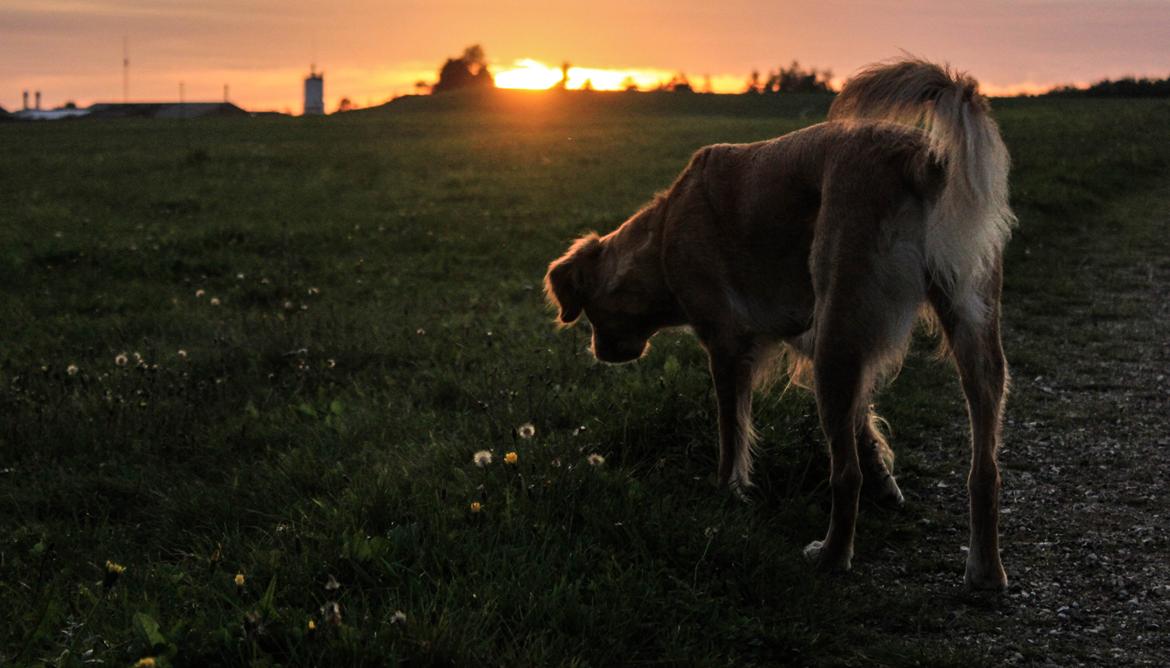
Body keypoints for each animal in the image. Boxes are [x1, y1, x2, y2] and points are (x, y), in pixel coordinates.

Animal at [545, 58, 1015, 589]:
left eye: (588, 310)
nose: (599, 353)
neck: (662, 235)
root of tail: (920, 159)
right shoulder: (814, 341)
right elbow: (865, 427)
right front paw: (886, 487)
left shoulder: (727, 347)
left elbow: (732, 431)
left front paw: (726, 492)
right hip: (971, 339)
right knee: (985, 469)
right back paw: (985, 570)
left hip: (836, 342)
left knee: (843, 475)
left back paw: (833, 554)